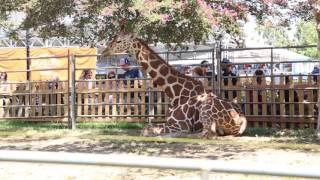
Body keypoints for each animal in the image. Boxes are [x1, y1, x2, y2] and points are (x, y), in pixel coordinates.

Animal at [102, 31, 248, 137]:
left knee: (207, 134)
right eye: (113, 38)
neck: (175, 92)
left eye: (119, 40)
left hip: (206, 109)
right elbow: (146, 128)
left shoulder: (179, 124)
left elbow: (146, 130)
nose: (104, 52)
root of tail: (243, 119)